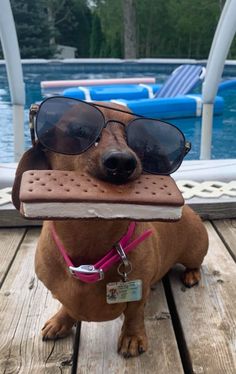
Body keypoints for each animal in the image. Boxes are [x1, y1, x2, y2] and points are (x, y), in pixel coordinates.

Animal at [12, 101, 208, 356]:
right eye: (78, 129)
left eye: (145, 142)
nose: (122, 162)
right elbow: (67, 306)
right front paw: (60, 321)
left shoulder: (138, 295)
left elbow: (135, 312)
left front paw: (132, 336)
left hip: (194, 250)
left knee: (196, 264)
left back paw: (192, 274)